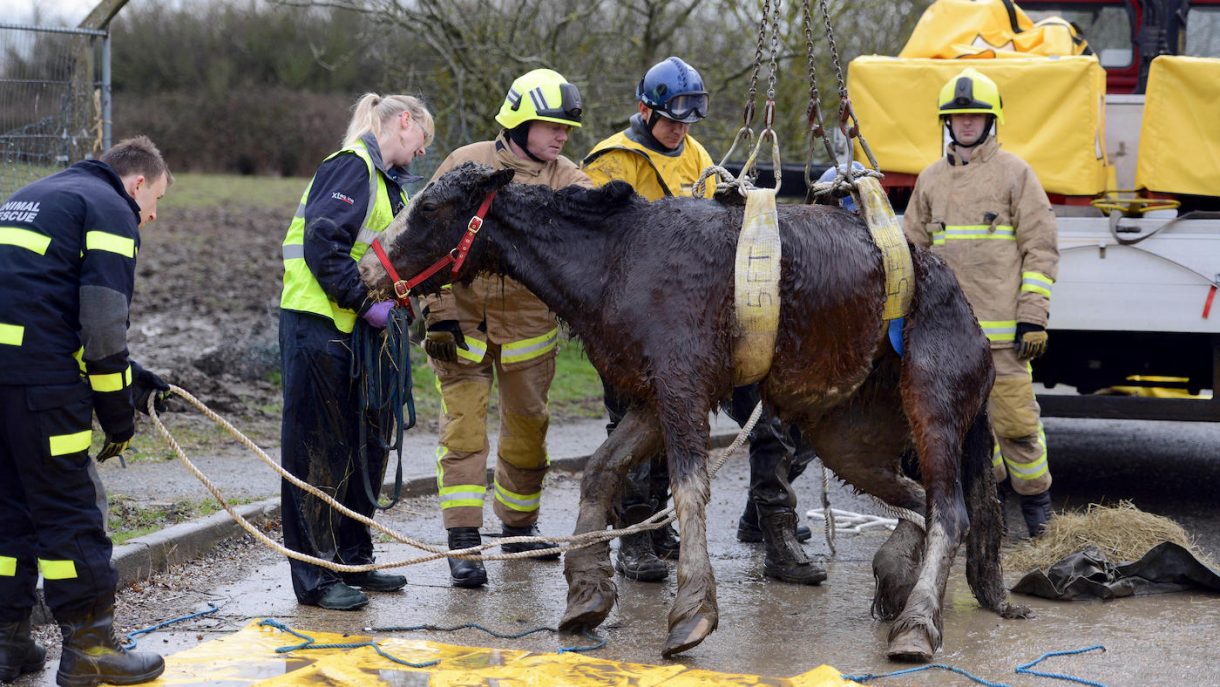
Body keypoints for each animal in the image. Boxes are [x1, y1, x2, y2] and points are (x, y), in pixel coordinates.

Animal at [361, 162, 1028, 662]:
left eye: (429, 209)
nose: (367, 268)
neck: (620, 257)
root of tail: (967, 310)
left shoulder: (682, 391)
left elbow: (687, 490)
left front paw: (692, 611)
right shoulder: (654, 400)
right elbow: (602, 471)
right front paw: (586, 591)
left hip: (933, 411)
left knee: (950, 512)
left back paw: (918, 623)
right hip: (849, 440)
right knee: (920, 500)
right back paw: (895, 577)